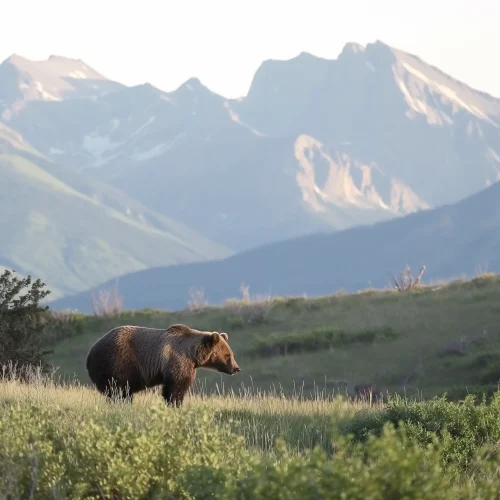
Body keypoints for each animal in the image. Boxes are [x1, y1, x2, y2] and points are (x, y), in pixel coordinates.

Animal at [85, 324, 240, 406]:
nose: (236, 368)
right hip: (116, 363)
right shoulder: (178, 360)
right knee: (118, 390)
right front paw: (176, 403)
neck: (193, 355)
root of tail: (91, 352)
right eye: (228, 355)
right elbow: (177, 386)